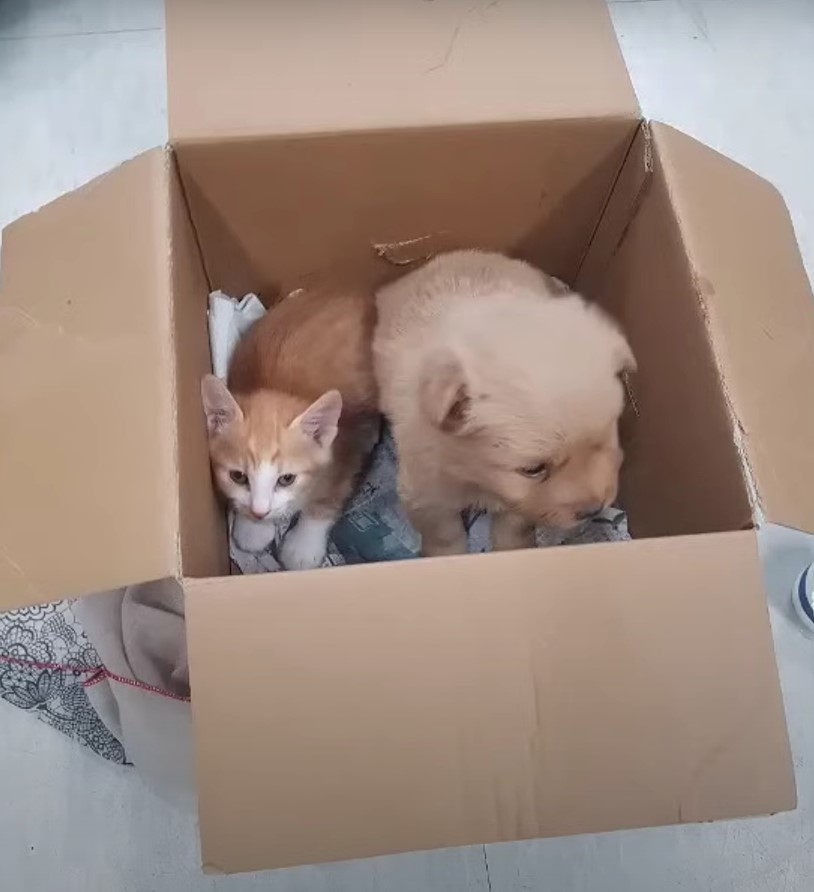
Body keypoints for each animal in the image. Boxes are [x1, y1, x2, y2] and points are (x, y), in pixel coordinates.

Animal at [204, 284, 382, 572]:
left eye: (286, 479)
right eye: (238, 476)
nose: (259, 512)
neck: (281, 385)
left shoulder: (346, 452)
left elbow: (328, 497)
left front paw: (303, 546)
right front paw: (253, 527)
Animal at [372, 251, 636, 556]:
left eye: (604, 439)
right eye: (533, 469)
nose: (594, 510)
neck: (475, 473)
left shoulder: (520, 503)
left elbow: (515, 525)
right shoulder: (425, 489)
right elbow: (442, 532)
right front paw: (445, 557)